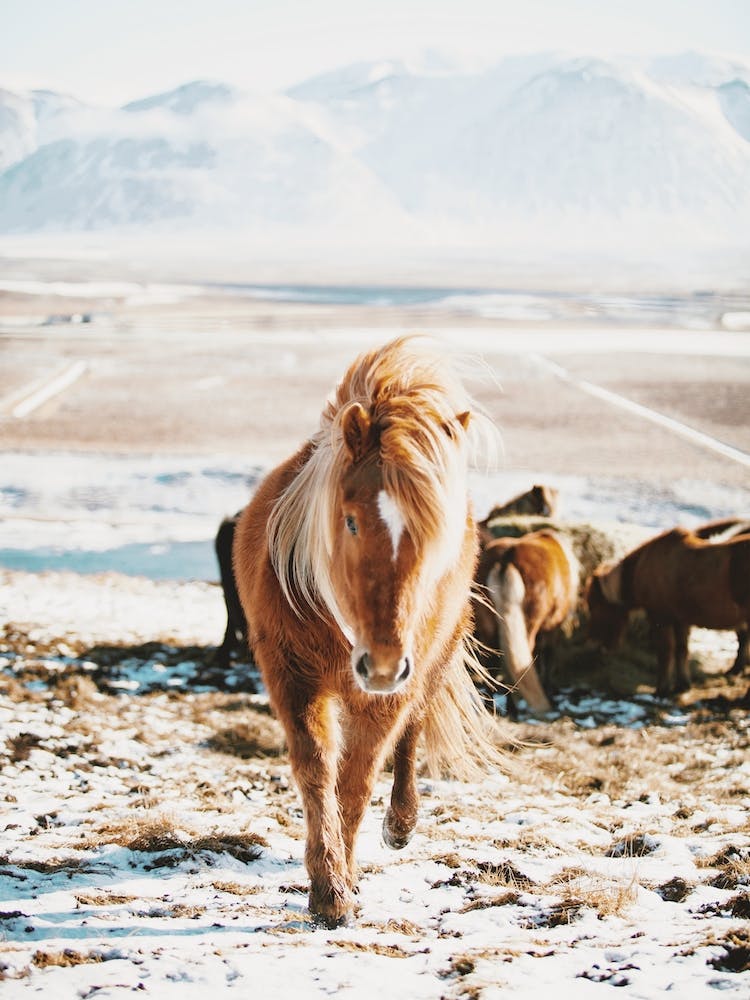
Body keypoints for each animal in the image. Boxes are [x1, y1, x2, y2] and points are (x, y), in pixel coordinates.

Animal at [233, 336, 503, 927]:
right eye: (351, 520)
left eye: (433, 534)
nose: (380, 664)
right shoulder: (291, 677)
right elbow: (316, 773)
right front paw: (328, 888)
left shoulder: (386, 695)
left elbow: (356, 783)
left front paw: (343, 884)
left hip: (431, 662)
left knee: (413, 731)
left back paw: (401, 824)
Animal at [473, 529, 579, 715]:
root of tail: (505, 559)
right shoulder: (552, 628)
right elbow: (547, 658)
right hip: (528, 627)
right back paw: (513, 708)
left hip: (489, 629)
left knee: (492, 663)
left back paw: (491, 707)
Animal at [585, 519, 750, 696]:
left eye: (595, 606)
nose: (592, 643)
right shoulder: (681, 620)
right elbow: (681, 651)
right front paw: (682, 685)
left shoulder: (660, 618)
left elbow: (665, 653)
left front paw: (662, 689)